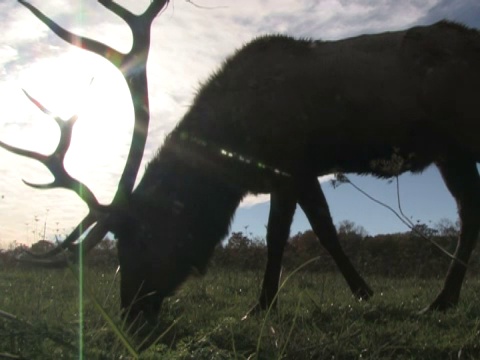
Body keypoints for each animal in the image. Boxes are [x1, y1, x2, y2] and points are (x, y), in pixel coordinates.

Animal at [0, 0, 480, 324]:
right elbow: (306, 231)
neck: (233, 153)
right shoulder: (293, 172)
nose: (131, 312)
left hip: (459, 139)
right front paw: (346, 293)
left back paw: (441, 300)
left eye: (141, 236)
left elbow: (290, 235)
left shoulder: (290, 164)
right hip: (451, 151)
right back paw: (445, 298)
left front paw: (269, 305)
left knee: (468, 215)